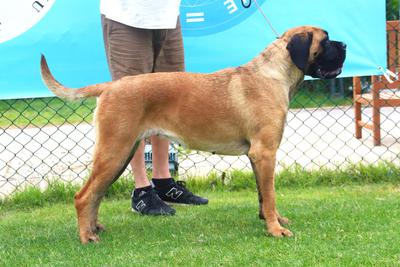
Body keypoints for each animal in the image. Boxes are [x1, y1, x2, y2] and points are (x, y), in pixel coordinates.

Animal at [41, 26, 346, 244]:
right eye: (326, 40)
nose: (344, 45)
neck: (273, 74)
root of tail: (110, 86)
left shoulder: (258, 157)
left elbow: (263, 195)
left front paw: (272, 220)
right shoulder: (265, 153)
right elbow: (270, 195)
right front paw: (275, 229)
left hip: (121, 153)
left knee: (95, 194)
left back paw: (94, 227)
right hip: (114, 151)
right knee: (83, 196)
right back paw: (86, 236)